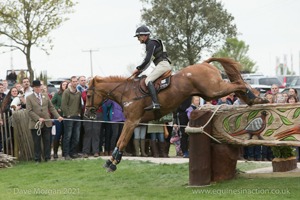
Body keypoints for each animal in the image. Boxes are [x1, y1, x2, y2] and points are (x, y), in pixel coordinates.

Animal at [84, 56, 264, 172]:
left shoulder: (132, 121)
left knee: (239, 84)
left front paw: (112, 163)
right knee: (236, 86)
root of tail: (205, 64)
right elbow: (120, 141)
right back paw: (253, 99)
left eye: (89, 94)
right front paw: (112, 161)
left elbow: (121, 141)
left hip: (214, 90)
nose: (87, 113)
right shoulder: (132, 122)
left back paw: (255, 97)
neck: (127, 92)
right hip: (210, 93)